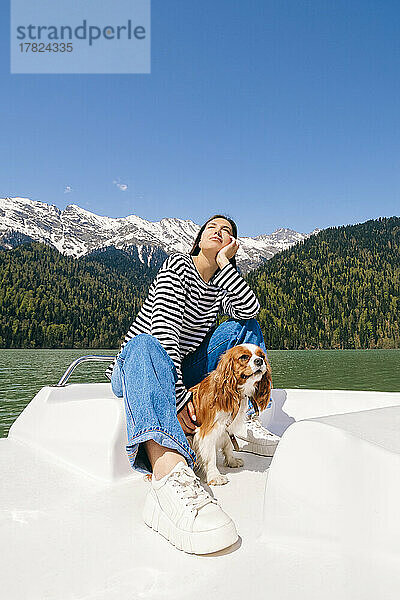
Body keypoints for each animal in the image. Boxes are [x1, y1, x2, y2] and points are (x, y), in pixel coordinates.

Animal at [188, 344, 272, 486]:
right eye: (244, 357)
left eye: (261, 356)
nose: (259, 361)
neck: (236, 393)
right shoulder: (208, 431)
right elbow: (210, 456)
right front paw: (215, 476)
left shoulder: (228, 427)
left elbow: (228, 445)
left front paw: (232, 461)